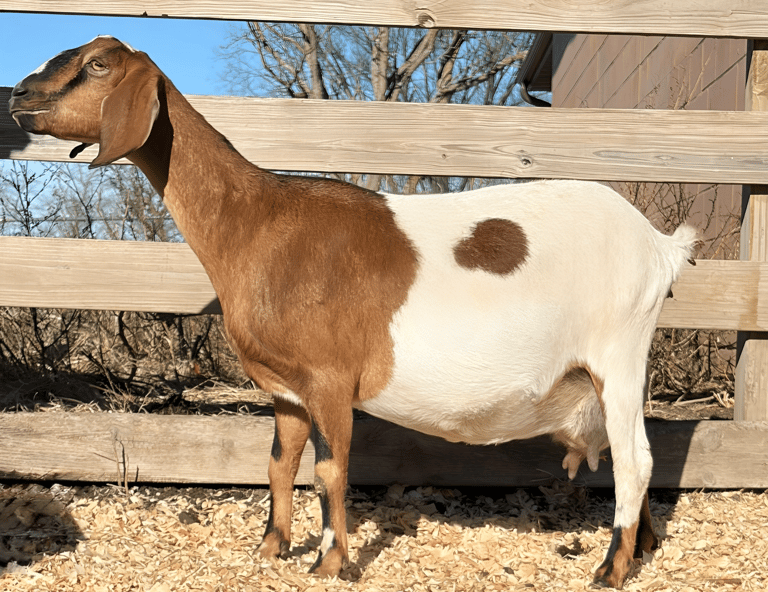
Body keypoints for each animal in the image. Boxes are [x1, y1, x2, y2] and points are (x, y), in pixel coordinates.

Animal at [9, 36, 698, 589]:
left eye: (97, 65)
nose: (17, 93)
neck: (258, 223)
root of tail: (660, 246)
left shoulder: (329, 380)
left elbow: (330, 471)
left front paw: (330, 562)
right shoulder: (286, 388)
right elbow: (279, 465)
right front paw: (270, 550)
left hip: (618, 354)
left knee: (635, 460)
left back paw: (610, 568)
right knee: (634, 459)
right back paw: (641, 551)